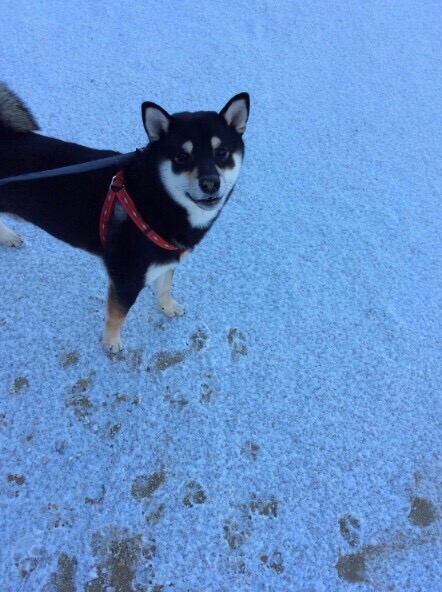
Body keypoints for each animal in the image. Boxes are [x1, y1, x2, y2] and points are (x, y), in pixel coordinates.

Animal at [0, 83, 249, 352]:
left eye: (222, 152)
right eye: (182, 156)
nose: (210, 183)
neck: (156, 199)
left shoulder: (166, 260)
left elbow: (164, 288)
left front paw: (168, 307)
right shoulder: (126, 277)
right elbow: (117, 315)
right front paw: (111, 343)